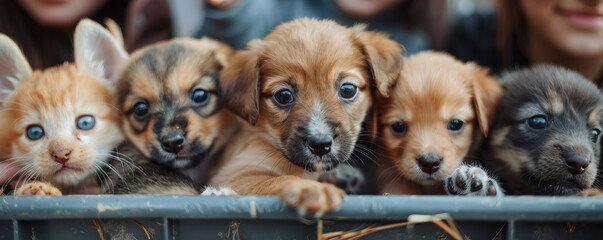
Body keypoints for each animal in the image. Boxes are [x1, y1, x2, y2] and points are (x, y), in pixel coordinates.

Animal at [210, 18, 404, 214]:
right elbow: (280, 179)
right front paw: (311, 189)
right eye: (283, 96)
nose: (320, 145)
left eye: (348, 90)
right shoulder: (236, 174)